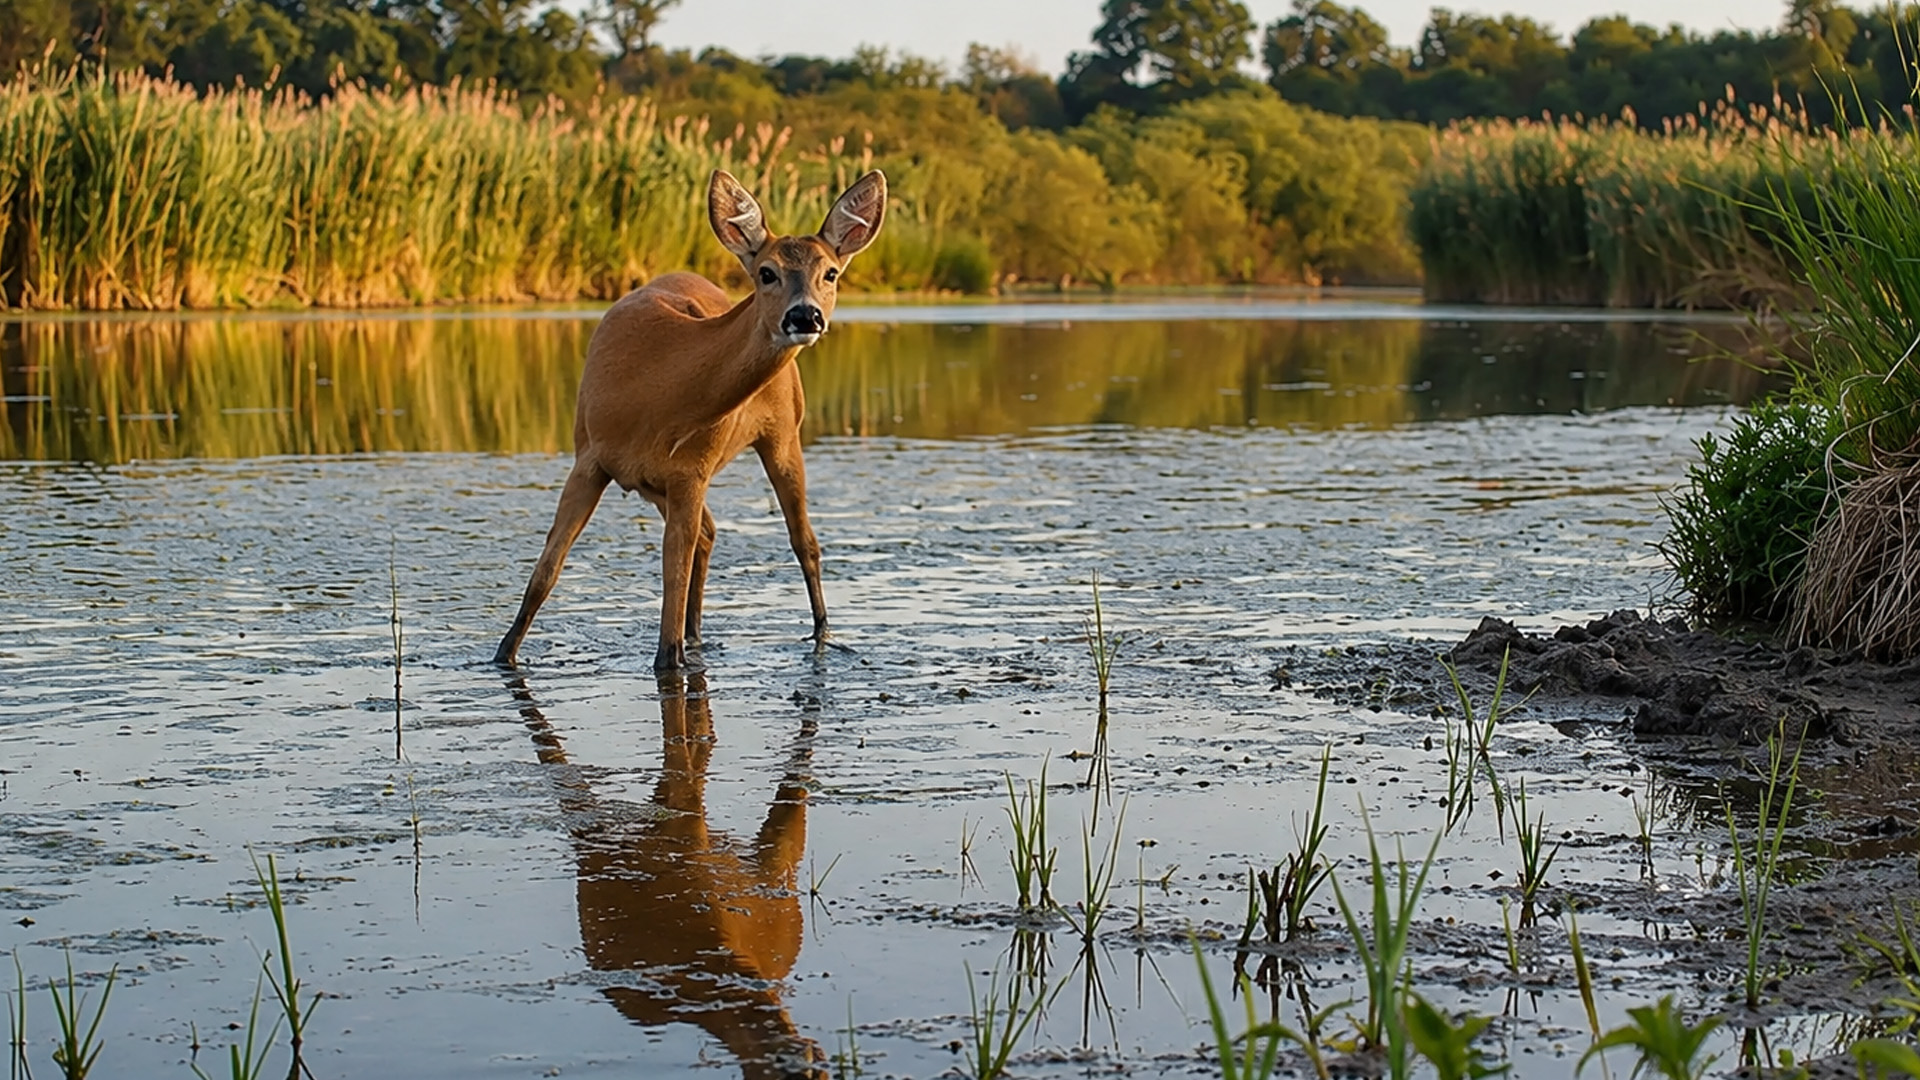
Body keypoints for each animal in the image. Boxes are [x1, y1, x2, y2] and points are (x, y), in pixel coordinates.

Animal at [494, 168, 887, 671]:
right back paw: (702, 634)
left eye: (831, 272)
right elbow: (545, 571)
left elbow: (670, 599)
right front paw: (501, 655)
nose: (805, 315)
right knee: (711, 535)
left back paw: (822, 635)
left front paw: (671, 658)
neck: (655, 394)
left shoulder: (689, 472)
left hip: (782, 434)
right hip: (663, 482)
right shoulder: (590, 457)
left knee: (804, 541)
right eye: (767, 272)